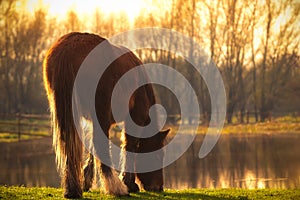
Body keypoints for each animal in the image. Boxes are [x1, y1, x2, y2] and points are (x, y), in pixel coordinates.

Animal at [42, 32, 169, 198]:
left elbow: (91, 149)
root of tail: (68, 48)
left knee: (69, 144)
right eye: (158, 156)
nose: (158, 187)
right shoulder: (134, 119)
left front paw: (86, 181)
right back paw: (115, 187)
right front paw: (129, 183)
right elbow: (129, 146)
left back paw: (73, 189)